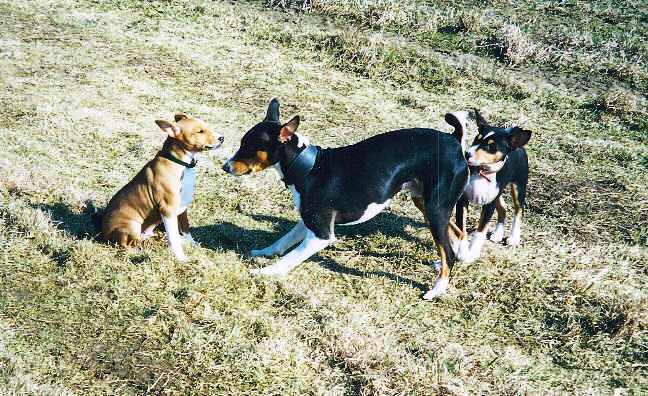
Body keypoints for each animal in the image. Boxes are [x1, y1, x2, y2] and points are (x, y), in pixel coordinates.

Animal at [95, 113, 224, 260]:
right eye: (200, 131)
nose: (222, 138)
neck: (181, 163)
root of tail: (103, 233)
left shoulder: (183, 207)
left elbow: (186, 229)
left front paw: (192, 243)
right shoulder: (168, 209)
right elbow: (174, 238)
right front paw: (181, 258)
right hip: (132, 226)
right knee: (124, 245)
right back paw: (140, 252)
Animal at [221, 100, 466, 300]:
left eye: (248, 147)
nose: (225, 166)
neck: (309, 167)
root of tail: (455, 141)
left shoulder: (321, 235)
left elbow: (291, 257)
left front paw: (266, 272)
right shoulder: (308, 222)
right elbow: (284, 240)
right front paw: (264, 252)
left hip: (435, 209)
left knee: (448, 253)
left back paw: (437, 289)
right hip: (426, 204)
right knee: (456, 234)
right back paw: (458, 258)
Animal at [448, 109, 536, 262]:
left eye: (491, 146)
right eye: (476, 139)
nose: (467, 153)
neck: (482, 172)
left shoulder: (489, 205)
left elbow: (480, 231)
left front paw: (473, 253)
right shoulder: (462, 201)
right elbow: (461, 229)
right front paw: (463, 253)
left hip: (518, 186)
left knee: (519, 209)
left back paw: (513, 237)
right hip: (498, 192)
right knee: (503, 207)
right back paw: (497, 234)